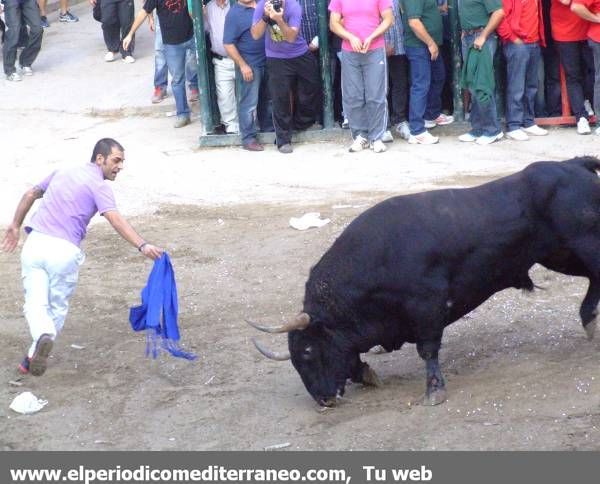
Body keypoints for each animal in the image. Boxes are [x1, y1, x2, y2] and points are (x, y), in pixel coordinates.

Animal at [247, 157, 600, 406]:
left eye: (307, 351)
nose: (323, 400)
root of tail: (573, 164)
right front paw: (366, 373)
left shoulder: (428, 305)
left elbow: (428, 350)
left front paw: (434, 391)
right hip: (560, 255)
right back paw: (588, 320)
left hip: (584, 243)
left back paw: (589, 321)